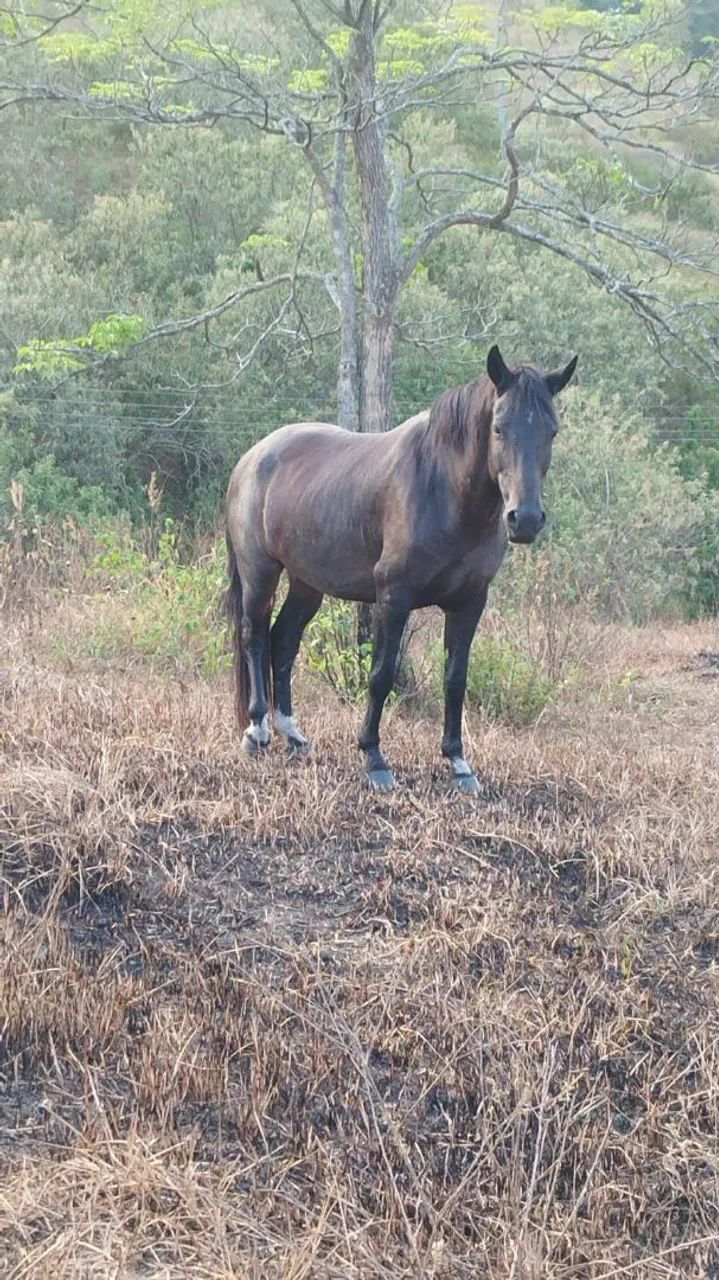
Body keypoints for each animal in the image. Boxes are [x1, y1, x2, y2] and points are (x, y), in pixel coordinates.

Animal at [225, 345, 577, 792]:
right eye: (499, 428)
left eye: (552, 431)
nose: (526, 519)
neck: (443, 490)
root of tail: (252, 457)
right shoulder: (393, 598)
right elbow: (381, 675)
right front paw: (374, 758)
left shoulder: (469, 603)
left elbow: (455, 680)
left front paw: (459, 763)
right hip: (260, 573)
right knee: (253, 636)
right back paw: (257, 731)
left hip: (307, 583)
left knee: (283, 640)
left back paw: (293, 734)